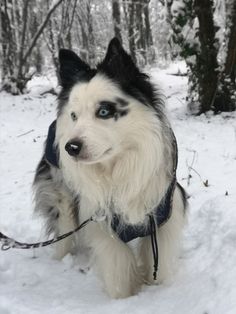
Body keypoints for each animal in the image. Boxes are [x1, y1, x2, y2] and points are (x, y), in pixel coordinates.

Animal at [33, 38, 186, 298]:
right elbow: (119, 270)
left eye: (104, 111)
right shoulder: (102, 223)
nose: (70, 148)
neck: (119, 167)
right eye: (74, 115)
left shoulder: (162, 216)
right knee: (64, 233)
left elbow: (158, 263)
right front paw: (124, 299)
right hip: (61, 196)